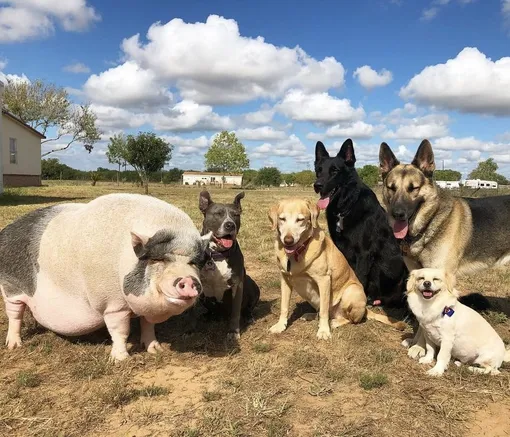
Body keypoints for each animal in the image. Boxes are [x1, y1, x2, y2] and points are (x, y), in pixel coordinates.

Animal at [0, 192, 211, 360]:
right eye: (158, 259)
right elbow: (120, 330)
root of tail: (5, 231)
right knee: (14, 314)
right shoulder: (112, 303)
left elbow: (148, 325)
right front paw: (121, 360)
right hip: (10, 287)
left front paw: (155, 350)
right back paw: (14, 346)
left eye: (193, 262)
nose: (188, 280)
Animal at [195, 190, 258, 338]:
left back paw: (249, 316)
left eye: (236, 215)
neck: (217, 255)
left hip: (253, 287)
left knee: (248, 308)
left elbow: (235, 312)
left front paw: (233, 331)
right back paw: (208, 316)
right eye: (218, 214)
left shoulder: (237, 285)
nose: (230, 225)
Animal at [266, 196, 406, 338]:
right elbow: (284, 306)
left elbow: (323, 310)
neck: (297, 253)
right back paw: (311, 315)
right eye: (282, 219)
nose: (288, 240)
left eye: (300, 219)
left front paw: (323, 331)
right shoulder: (285, 280)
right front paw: (280, 326)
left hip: (352, 291)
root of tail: (366, 309)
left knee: (350, 319)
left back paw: (333, 322)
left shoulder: (324, 280)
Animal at [312, 139, 408, 306]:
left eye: (334, 171)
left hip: (379, 266)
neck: (345, 208)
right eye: (319, 170)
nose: (317, 185)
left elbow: (359, 279)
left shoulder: (364, 254)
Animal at [376, 141, 508, 356]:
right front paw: (416, 342)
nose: (397, 214)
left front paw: (420, 347)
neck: (430, 222)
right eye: (391, 188)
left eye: (413, 188)